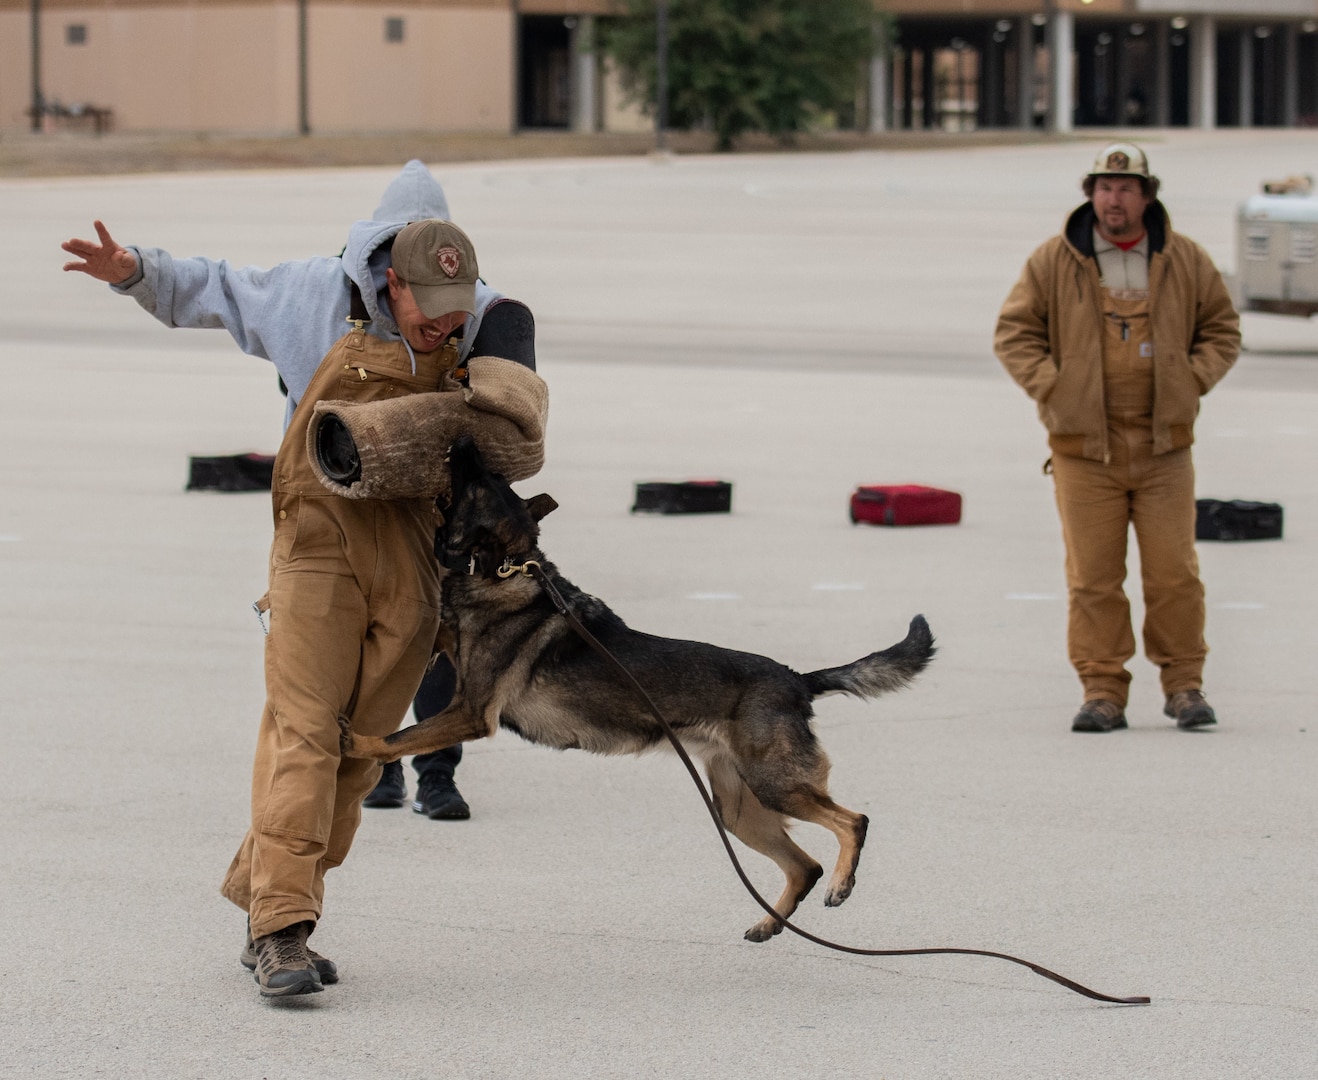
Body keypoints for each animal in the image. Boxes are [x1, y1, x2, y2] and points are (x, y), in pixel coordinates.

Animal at [340, 435, 938, 944]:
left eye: (481, 478)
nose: (464, 440)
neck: (504, 569)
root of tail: (796, 679)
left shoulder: (469, 711)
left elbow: (398, 737)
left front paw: (357, 742)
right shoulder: (449, 655)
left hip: (775, 786)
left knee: (852, 821)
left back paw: (840, 883)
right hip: (737, 809)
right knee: (803, 864)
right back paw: (770, 923)